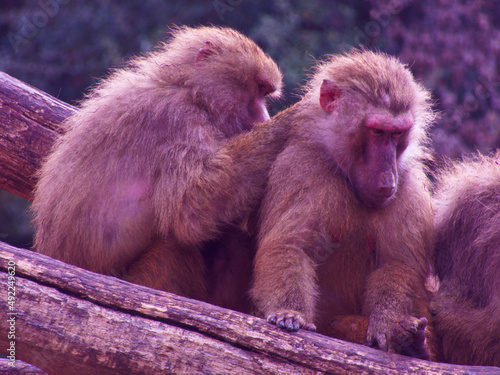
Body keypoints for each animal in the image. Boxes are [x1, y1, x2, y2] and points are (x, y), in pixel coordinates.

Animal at [32, 25, 286, 308]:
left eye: (265, 93)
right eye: (259, 89)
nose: (263, 118)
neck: (189, 90)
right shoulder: (177, 120)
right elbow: (191, 209)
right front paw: (289, 122)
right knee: (171, 250)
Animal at [250, 50, 438, 362]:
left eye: (397, 134)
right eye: (377, 131)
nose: (387, 179)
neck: (345, 173)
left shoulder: (408, 185)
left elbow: (397, 264)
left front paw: (388, 327)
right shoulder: (301, 166)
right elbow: (290, 245)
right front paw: (290, 313)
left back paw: (411, 342)